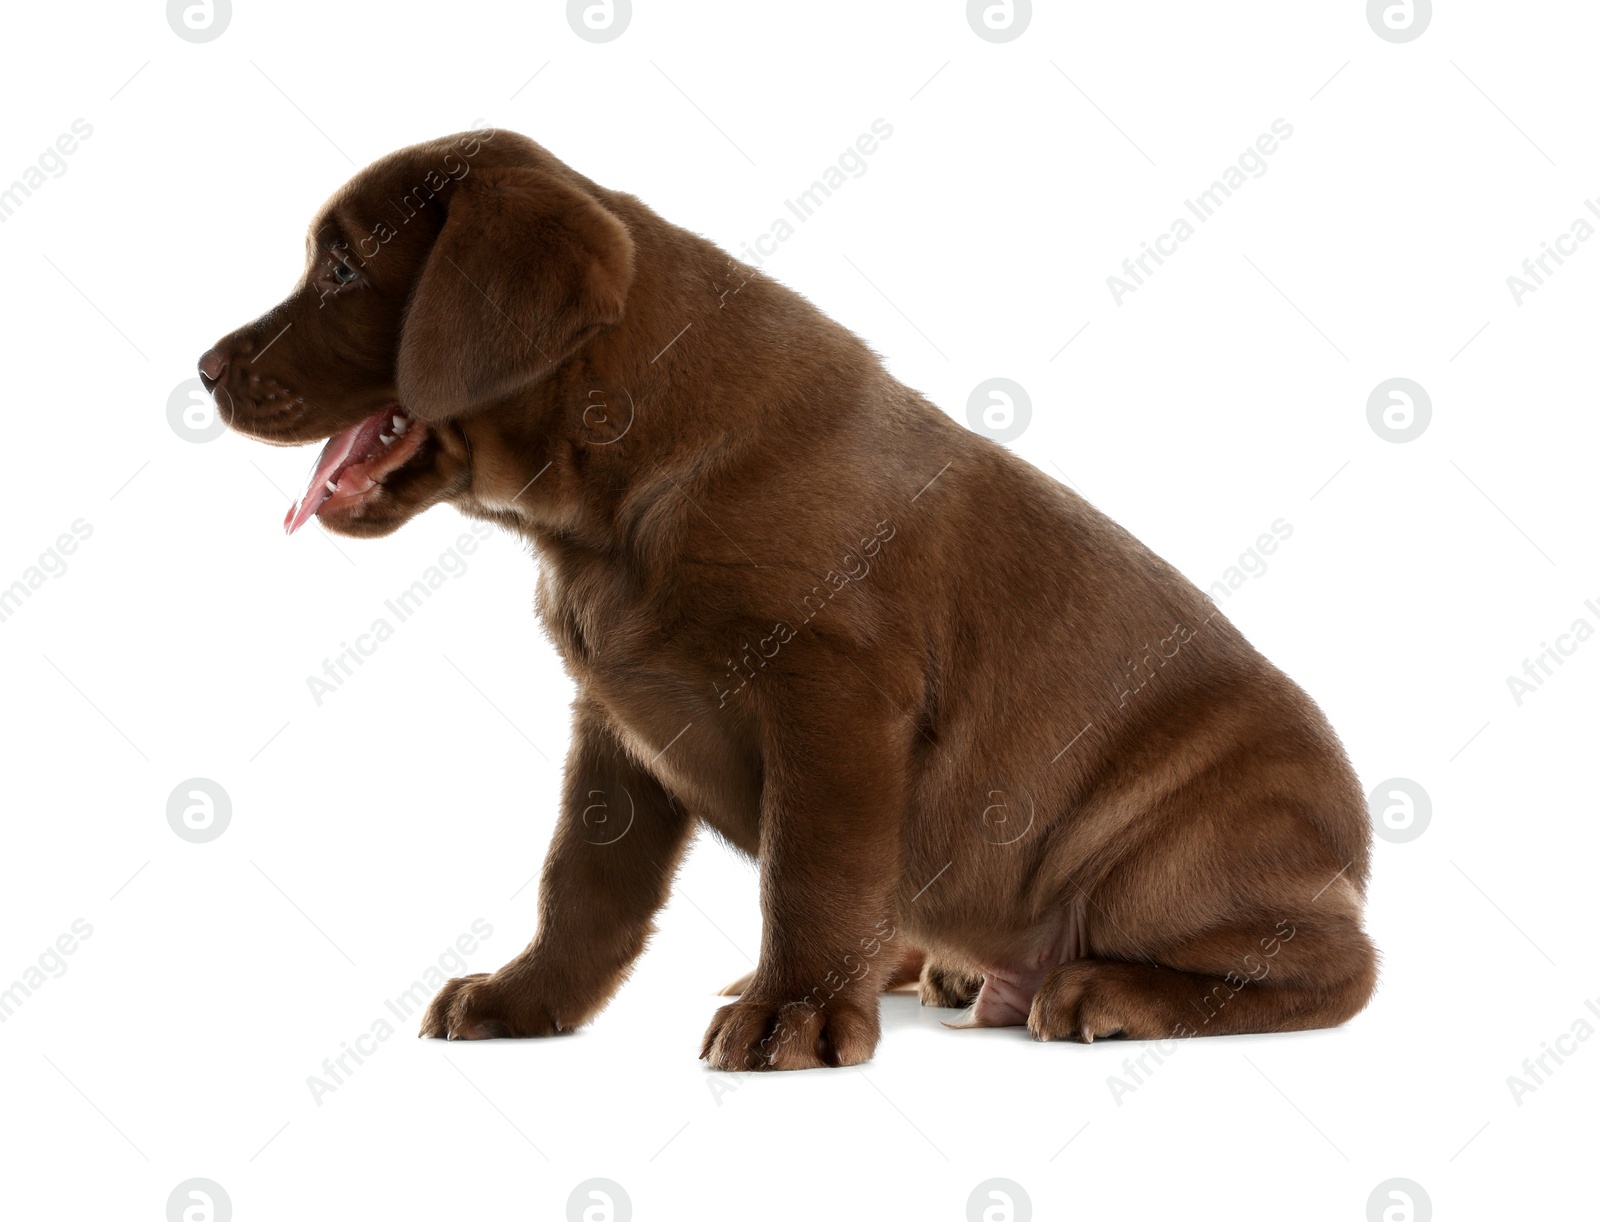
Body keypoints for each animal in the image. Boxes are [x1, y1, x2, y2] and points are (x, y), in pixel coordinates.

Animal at [200, 128, 1376, 1068]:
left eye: (342, 266)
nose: (205, 370)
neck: (609, 508)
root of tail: (1352, 854)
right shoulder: (615, 725)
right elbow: (581, 883)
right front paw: (526, 999)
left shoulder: (833, 696)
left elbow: (811, 872)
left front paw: (795, 1015)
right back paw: (942, 969)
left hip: (1164, 855)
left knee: (1337, 967)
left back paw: (1109, 989)